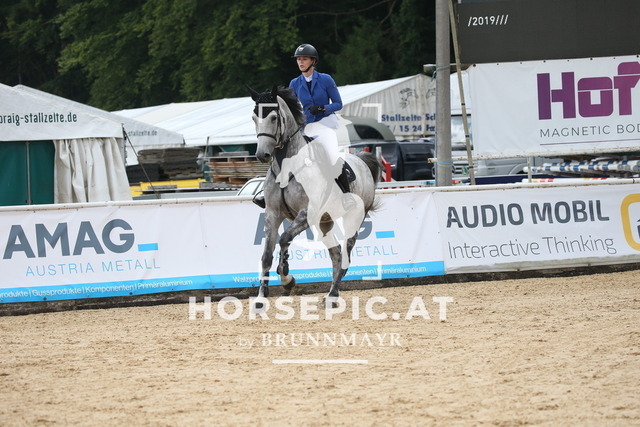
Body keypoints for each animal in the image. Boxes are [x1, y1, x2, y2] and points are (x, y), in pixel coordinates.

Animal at [248, 85, 381, 305]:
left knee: (345, 256)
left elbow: (284, 239)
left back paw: (333, 294)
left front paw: (287, 278)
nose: (262, 155)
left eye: (274, 117)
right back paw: (331, 294)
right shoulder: (273, 214)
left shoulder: (306, 212)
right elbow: (266, 255)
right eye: (253, 118)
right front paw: (260, 297)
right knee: (336, 254)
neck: (286, 166)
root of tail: (361, 160)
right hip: (324, 224)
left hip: (353, 219)